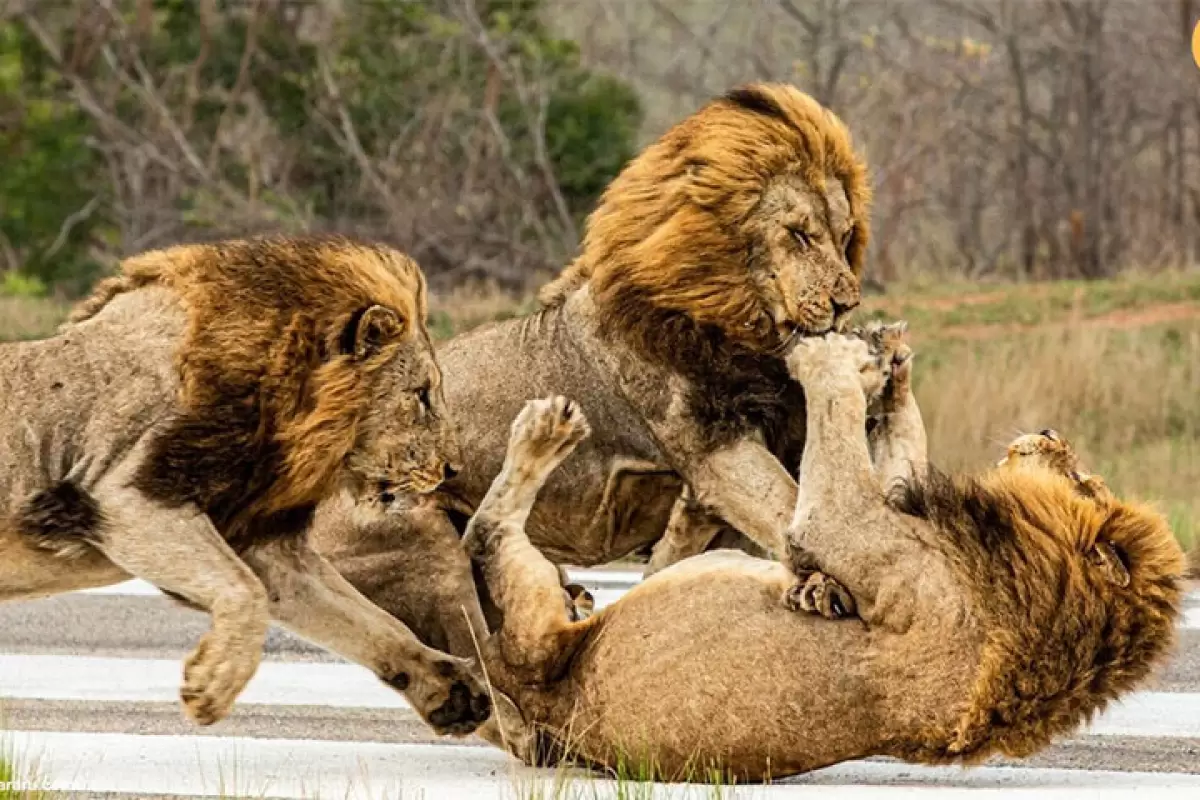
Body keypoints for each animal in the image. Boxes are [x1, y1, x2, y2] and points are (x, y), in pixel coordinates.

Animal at [0, 235, 492, 734]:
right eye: (422, 395)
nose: (453, 468)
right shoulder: (124, 495)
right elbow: (245, 592)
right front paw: (211, 686)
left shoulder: (260, 542)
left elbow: (366, 618)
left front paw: (450, 688)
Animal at [312, 81, 873, 642]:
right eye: (798, 234)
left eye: (845, 236)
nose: (847, 303)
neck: (741, 327)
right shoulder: (717, 452)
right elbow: (786, 506)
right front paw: (828, 582)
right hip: (428, 553)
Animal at [456, 331, 1180, 782]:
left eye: (1083, 481)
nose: (1052, 431)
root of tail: (541, 713)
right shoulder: (888, 503)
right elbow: (900, 446)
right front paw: (892, 368)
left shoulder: (848, 526)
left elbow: (834, 416)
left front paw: (837, 358)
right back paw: (685, 514)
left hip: (538, 639)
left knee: (485, 535)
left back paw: (545, 433)